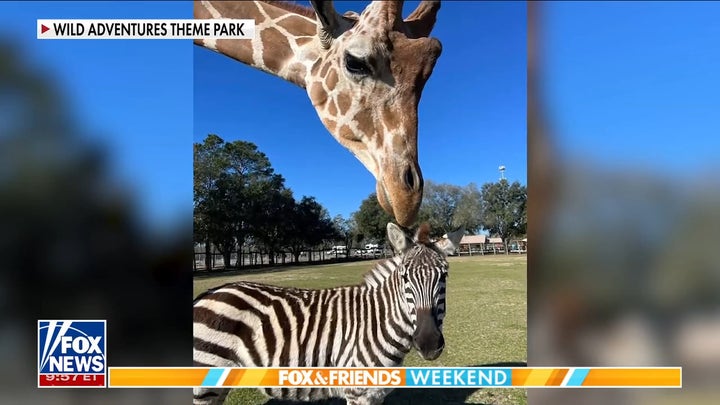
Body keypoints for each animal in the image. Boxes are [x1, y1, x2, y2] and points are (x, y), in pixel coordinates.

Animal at [193, 222, 464, 405]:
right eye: (405, 278)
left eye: (444, 276)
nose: (429, 343)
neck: (379, 321)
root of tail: (210, 292)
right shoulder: (358, 392)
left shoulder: (376, 394)